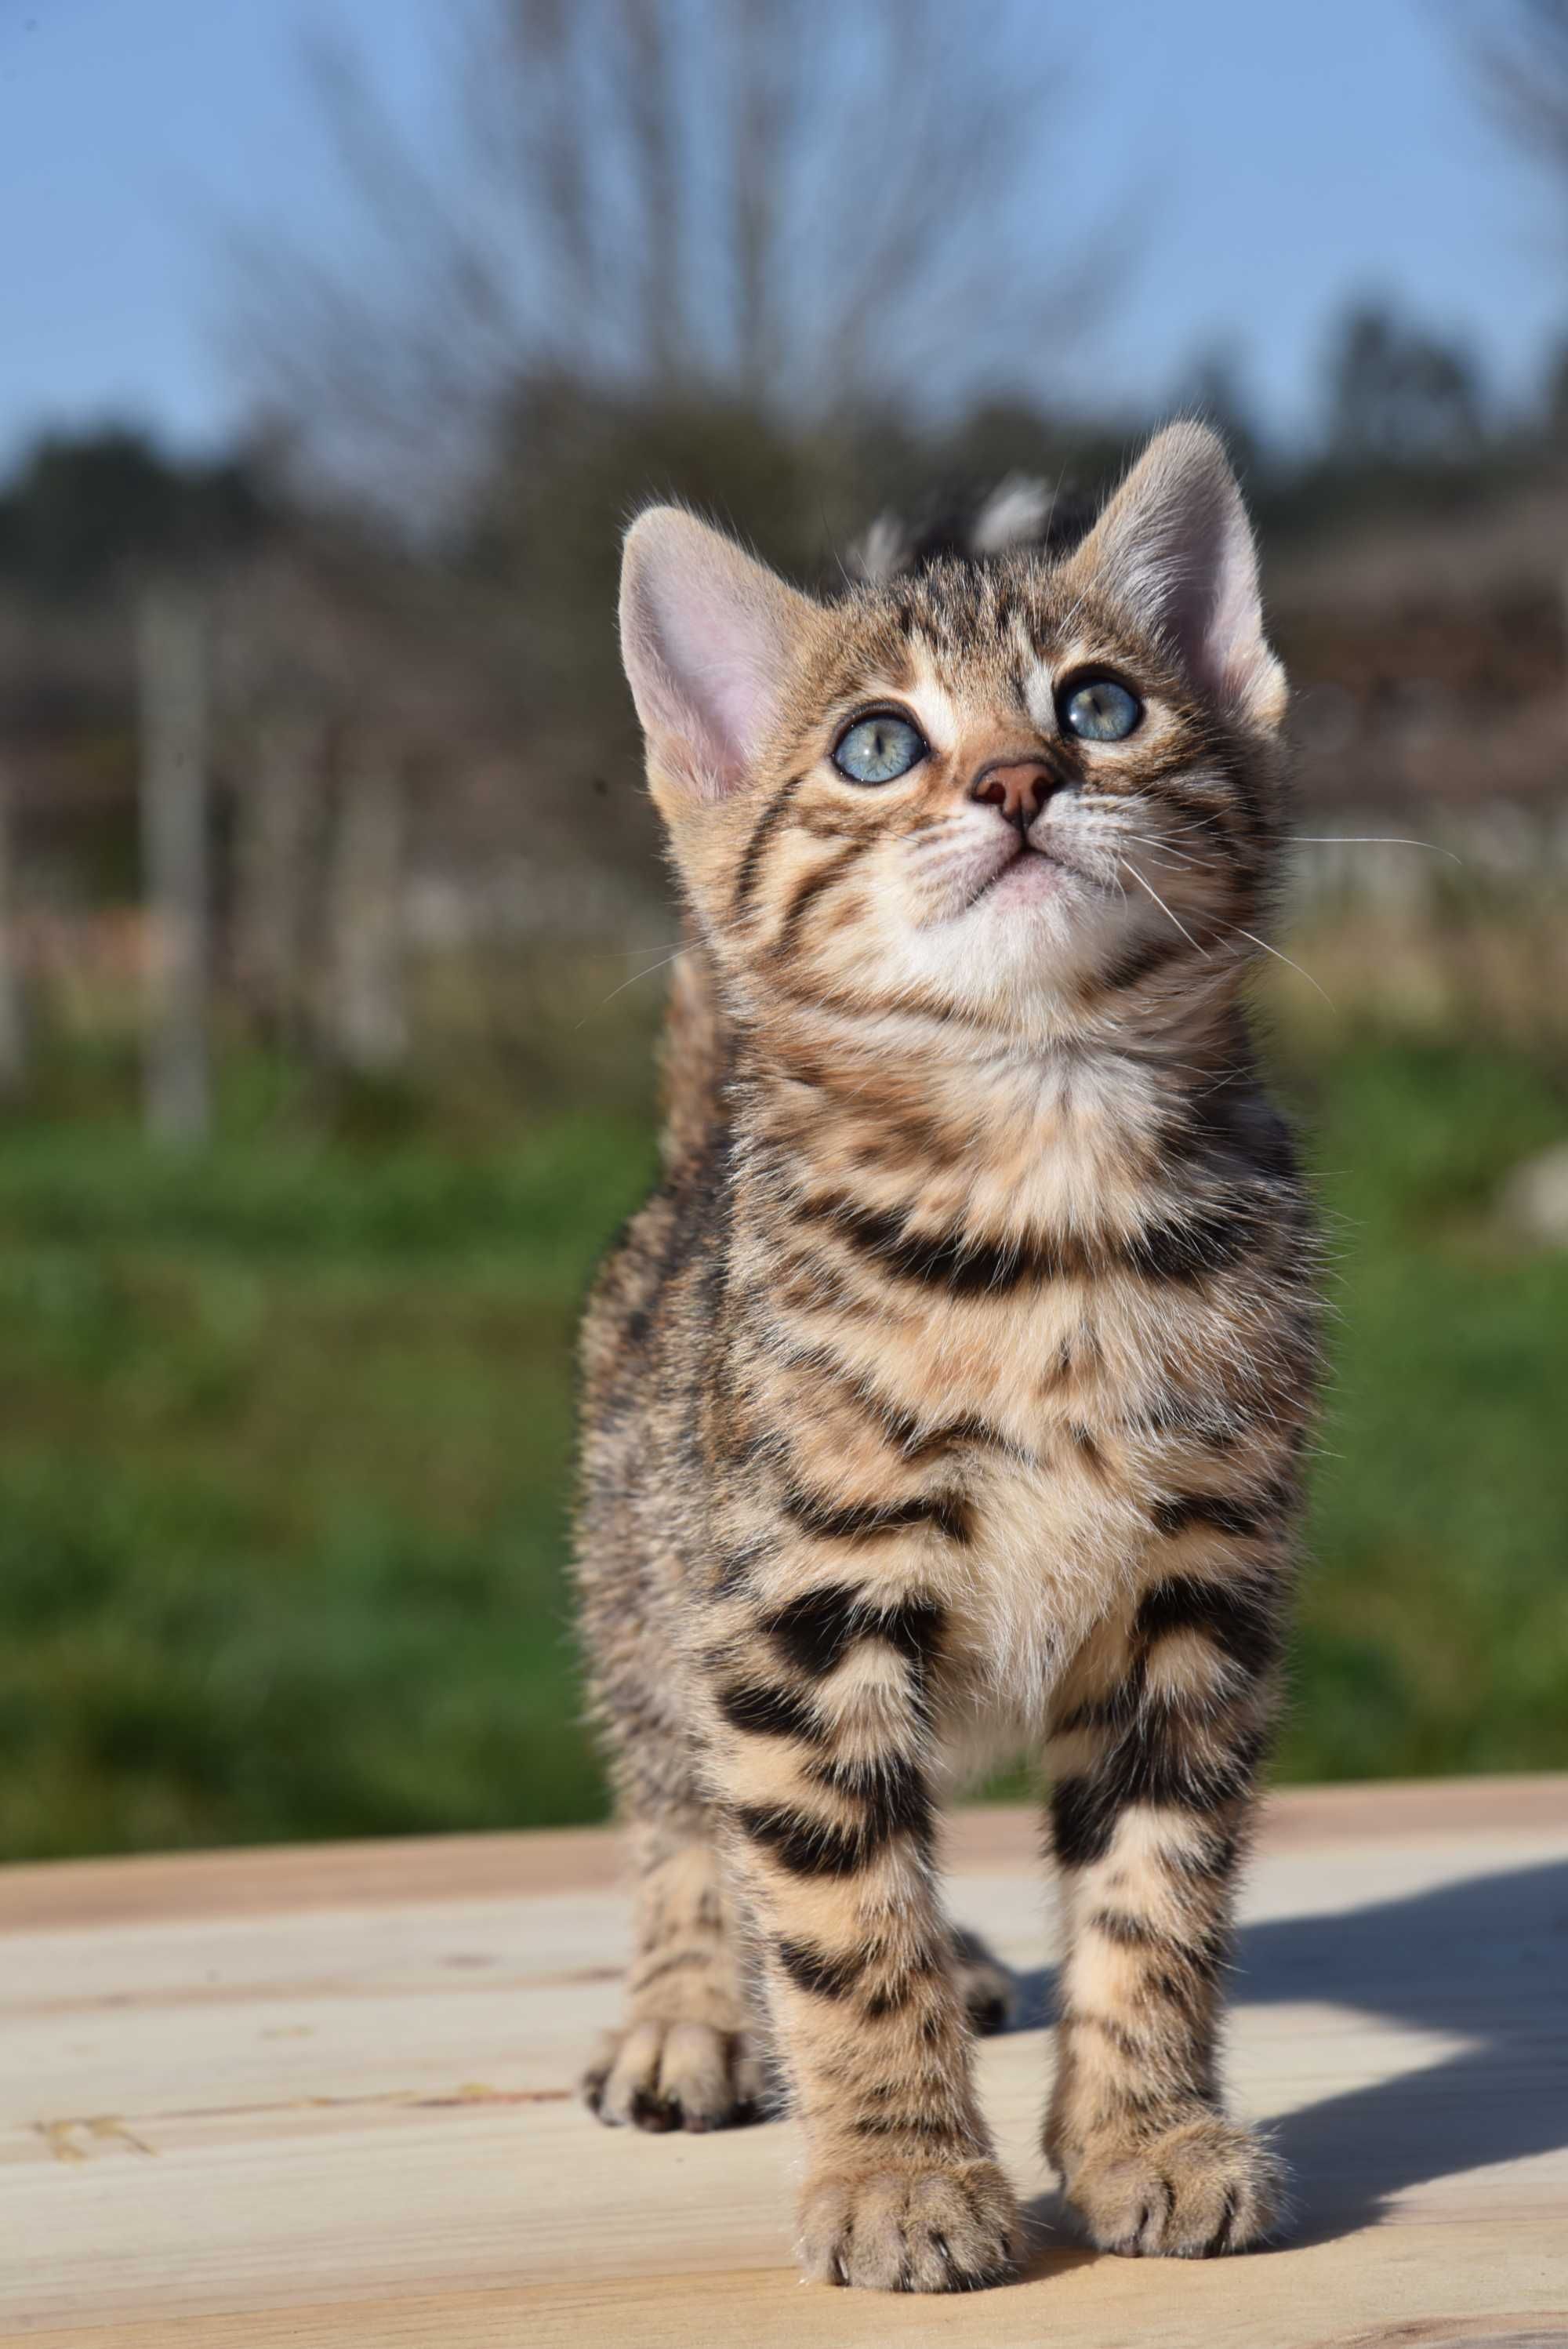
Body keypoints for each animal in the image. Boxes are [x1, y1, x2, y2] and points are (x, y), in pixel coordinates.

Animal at [570, 427, 1314, 2293]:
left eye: (1104, 705)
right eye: (879, 746)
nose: (1019, 781)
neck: (1049, 1183)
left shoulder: (1194, 1595)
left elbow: (1156, 1890)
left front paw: (1144, 2134)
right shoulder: (796, 1608)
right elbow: (839, 1908)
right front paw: (900, 2173)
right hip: (643, 1569)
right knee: (681, 1807)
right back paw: (693, 2009)